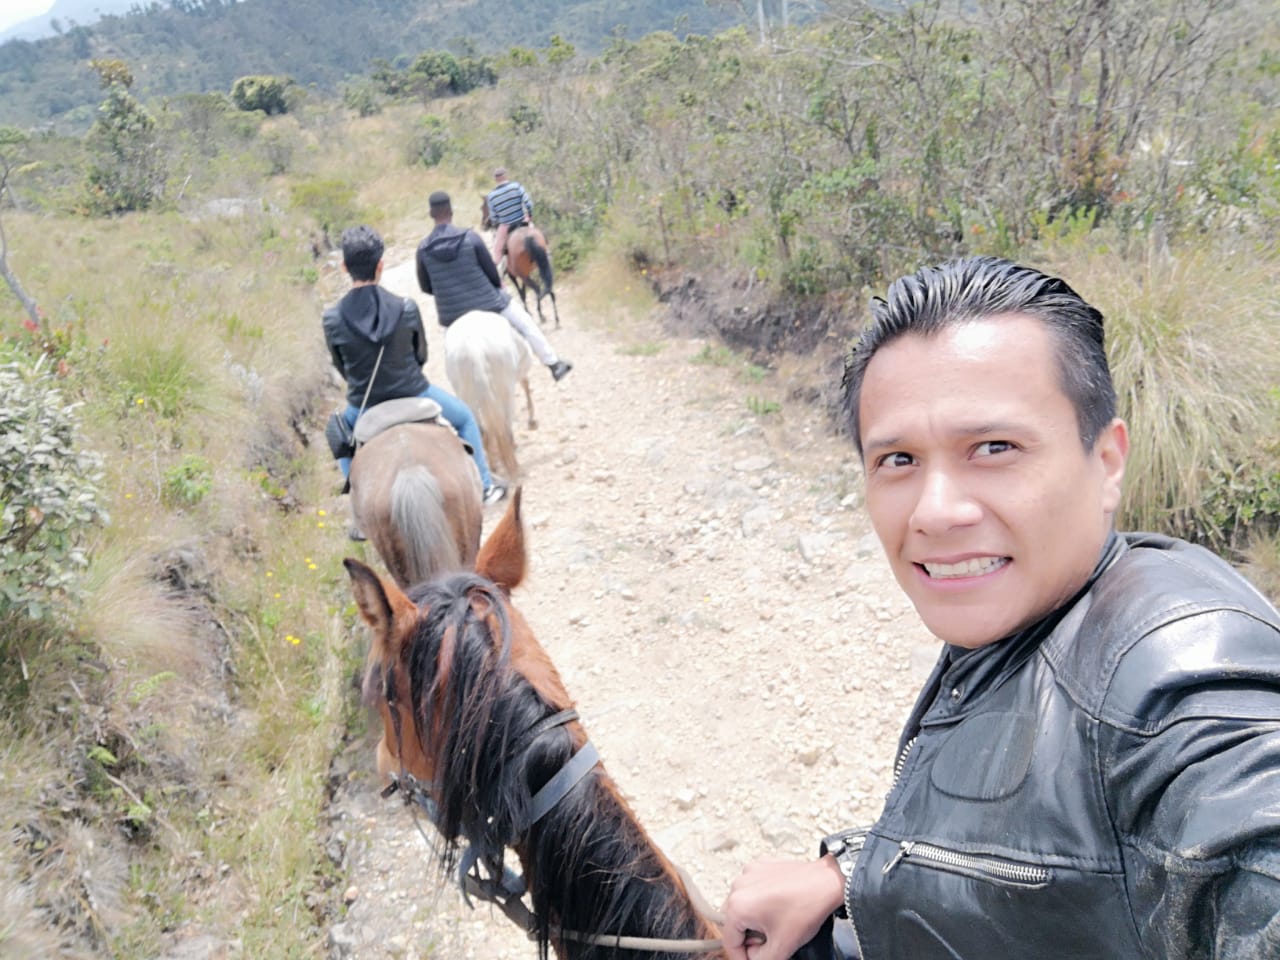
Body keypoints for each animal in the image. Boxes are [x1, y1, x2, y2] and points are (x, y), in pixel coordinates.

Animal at [445, 312, 535, 483]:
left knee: (482, 431)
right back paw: (514, 467)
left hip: (466, 396)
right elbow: (526, 383)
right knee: (504, 429)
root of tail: (474, 350)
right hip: (505, 391)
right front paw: (532, 421)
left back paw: (494, 467)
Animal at [481, 195, 560, 330]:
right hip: (541, 269)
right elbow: (523, 291)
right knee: (550, 289)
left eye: (483, 208)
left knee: (537, 289)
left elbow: (521, 293)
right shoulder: (523, 274)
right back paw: (556, 319)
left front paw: (528, 312)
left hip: (524, 275)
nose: (483, 225)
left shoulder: (512, 275)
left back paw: (541, 315)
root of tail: (528, 238)